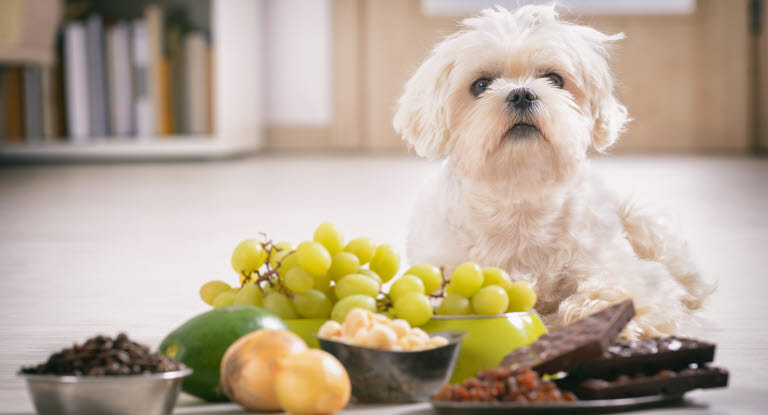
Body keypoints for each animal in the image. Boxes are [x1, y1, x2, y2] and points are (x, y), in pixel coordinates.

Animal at [396, 4, 712, 340]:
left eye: (554, 79)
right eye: (481, 85)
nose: (521, 93)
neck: (520, 195)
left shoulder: (627, 271)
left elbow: (621, 290)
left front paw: (597, 315)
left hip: (641, 221)